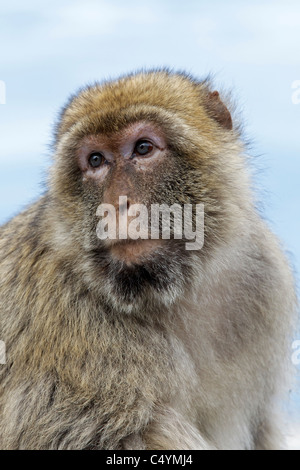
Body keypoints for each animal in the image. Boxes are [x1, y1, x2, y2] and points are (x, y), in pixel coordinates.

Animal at [0, 69, 296, 448]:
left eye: (143, 148)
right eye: (96, 160)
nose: (116, 205)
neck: (173, 291)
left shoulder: (264, 277)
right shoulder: (73, 330)